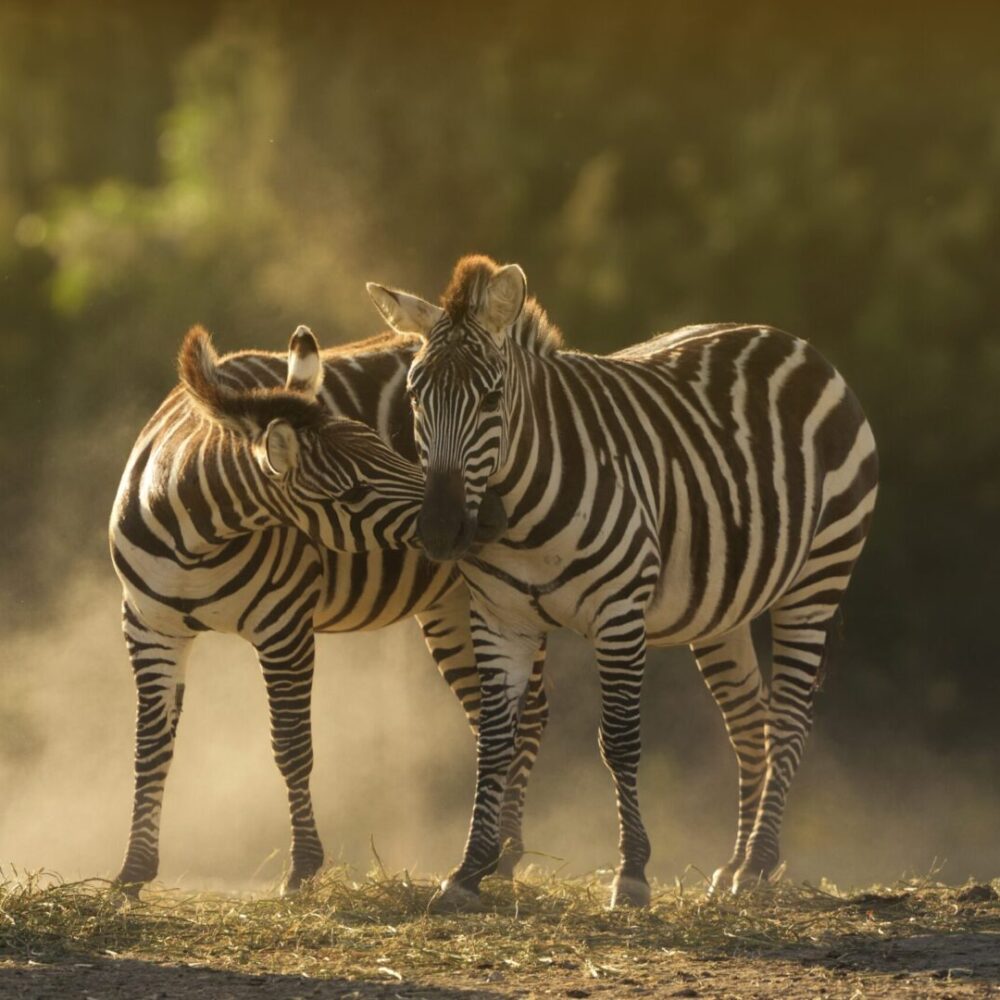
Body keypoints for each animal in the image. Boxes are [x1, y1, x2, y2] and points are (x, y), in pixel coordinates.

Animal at [109, 322, 545, 896]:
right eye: (353, 492)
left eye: (390, 447)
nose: (490, 517)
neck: (196, 538)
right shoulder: (149, 629)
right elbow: (149, 749)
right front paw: (132, 872)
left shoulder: (285, 626)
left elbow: (292, 746)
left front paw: (302, 868)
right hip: (450, 605)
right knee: (489, 718)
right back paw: (493, 851)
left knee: (530, 716)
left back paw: (511, 852)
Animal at [366, 255, 879, 910]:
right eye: (414, 395)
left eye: (492, 396)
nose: (440, 529)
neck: (522, 513)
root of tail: (789, 340)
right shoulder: (500, 619)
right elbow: (494, 740)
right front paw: (469, 869)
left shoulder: (618, 613)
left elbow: (619, 742)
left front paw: (631, 872)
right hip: (724, 608)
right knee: (750, 720)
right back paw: (736, 864)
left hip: (817, 575)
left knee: (787, 715)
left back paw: (759, 865)